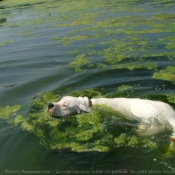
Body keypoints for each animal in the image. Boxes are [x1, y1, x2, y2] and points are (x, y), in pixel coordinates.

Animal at [47, 97, 175, 142]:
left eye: (65, 105)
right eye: (59, 100)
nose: (50, 104)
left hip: (151, 124)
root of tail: (171, 116)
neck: (90, 105)